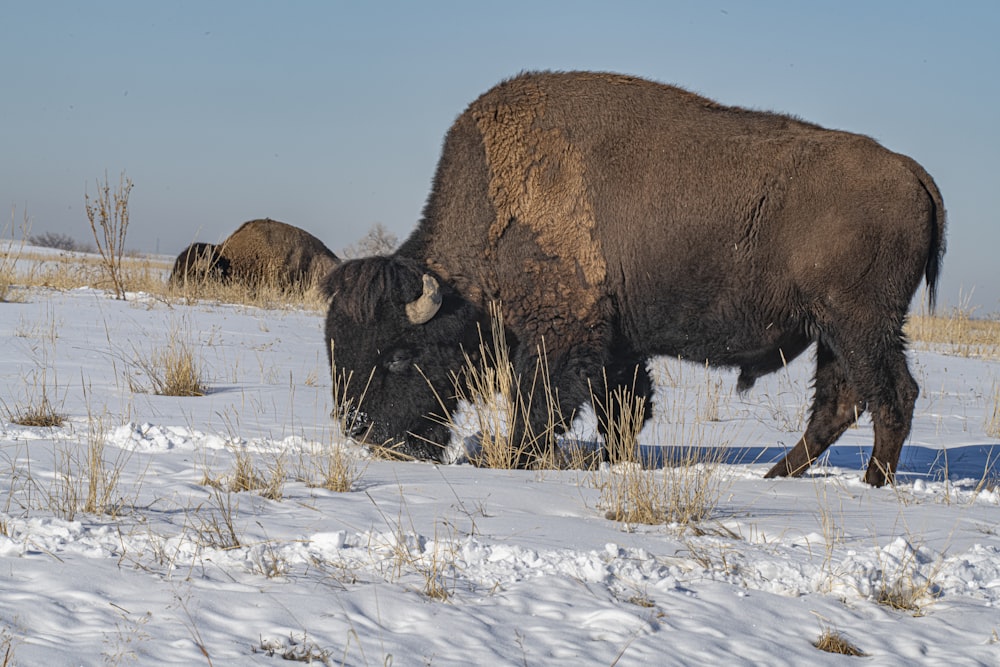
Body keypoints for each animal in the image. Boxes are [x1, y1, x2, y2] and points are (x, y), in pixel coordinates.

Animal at [322, 70, 944, 488]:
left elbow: (539, 406)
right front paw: (612, 461)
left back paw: (871, 483)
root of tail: (913, 173)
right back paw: (777, 476)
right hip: (833, 332)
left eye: (398, 355)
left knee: (892, 395)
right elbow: (623, 408)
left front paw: (519, 461)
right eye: (334, 347)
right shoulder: (617, 344)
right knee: (839, 403)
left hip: (861, 324)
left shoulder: (561, 334)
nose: (364, 432)